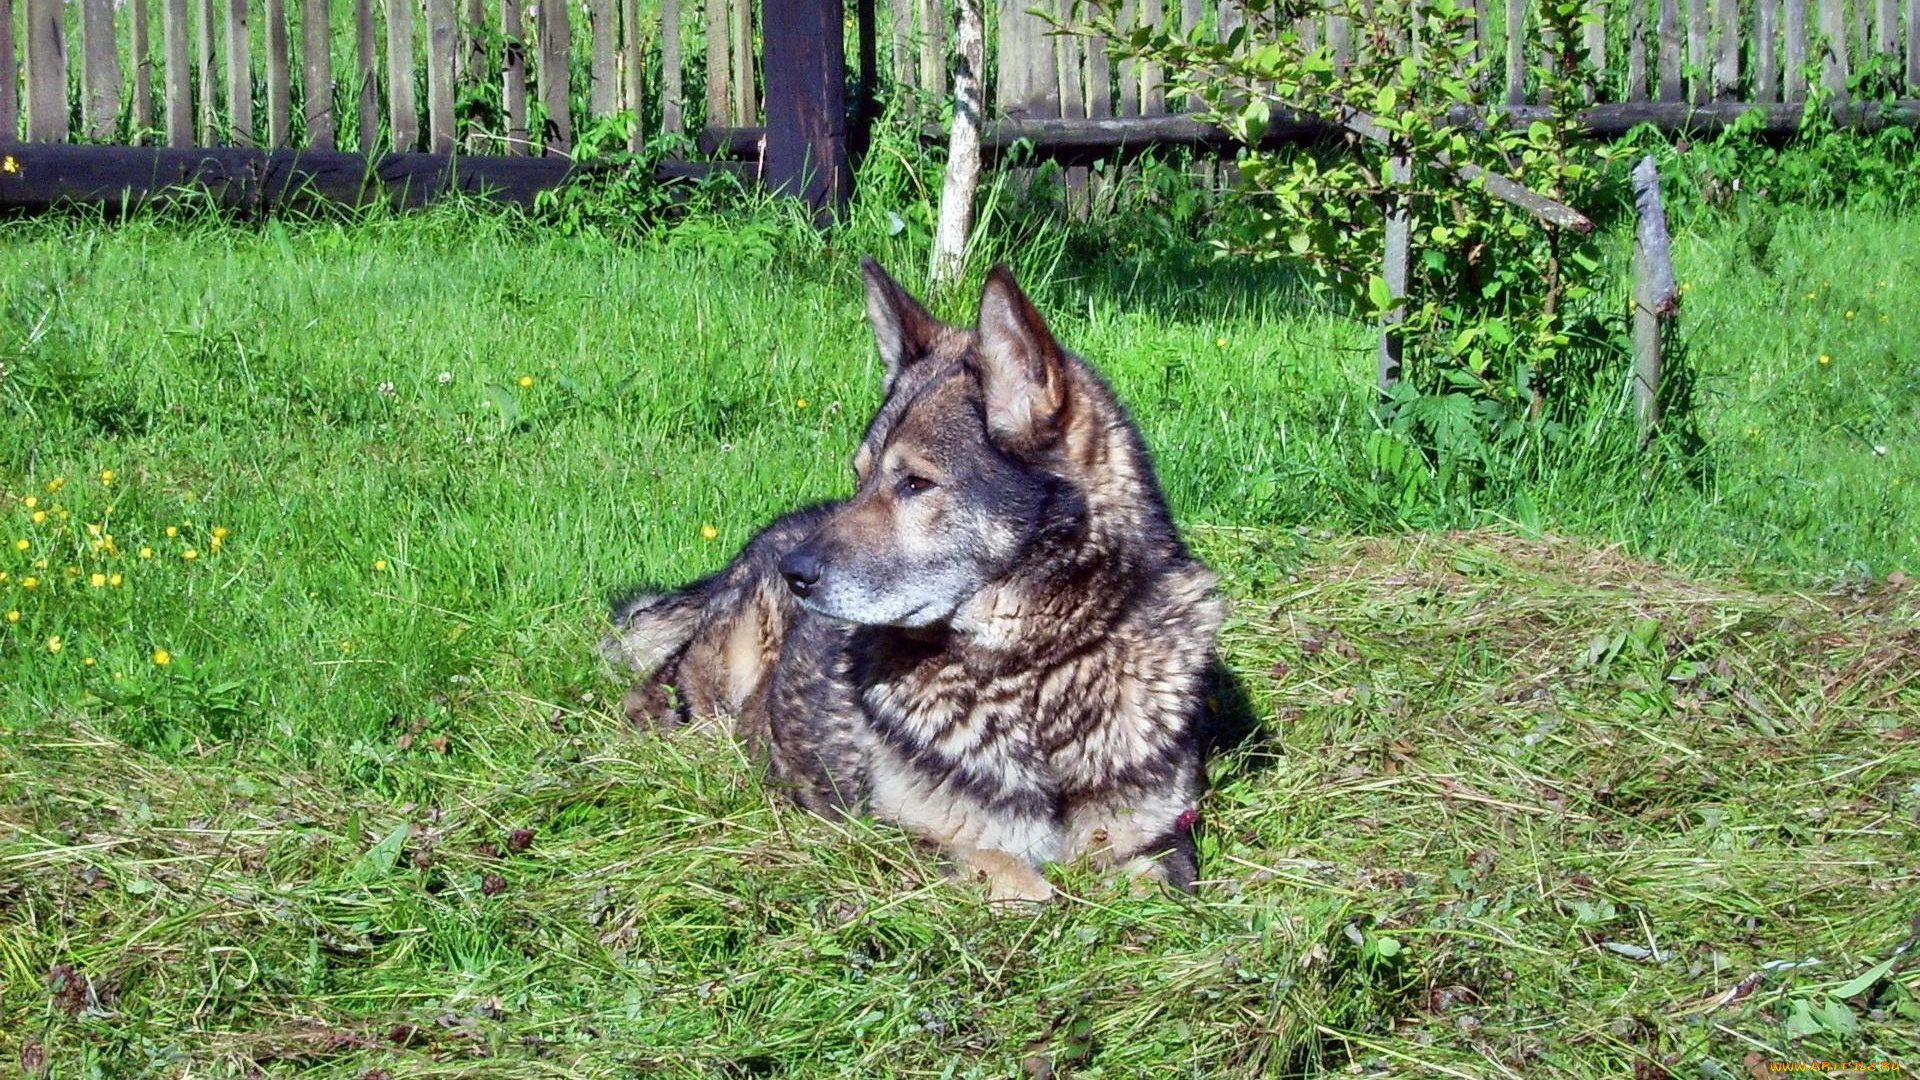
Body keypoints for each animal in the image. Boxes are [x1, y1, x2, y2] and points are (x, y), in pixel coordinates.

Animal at [602, 255, 1228, 895]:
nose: (794, 573)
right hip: (728, 664)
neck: (1036, 672)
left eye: (915, 483)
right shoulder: (905, 837)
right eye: (861, 476)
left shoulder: (1158, 843)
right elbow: (1023, 882)